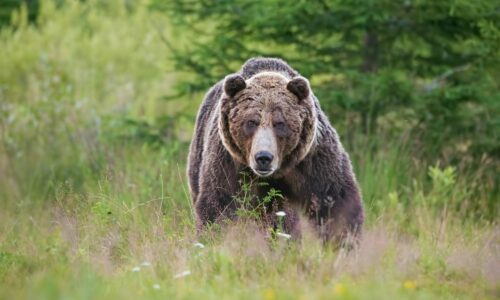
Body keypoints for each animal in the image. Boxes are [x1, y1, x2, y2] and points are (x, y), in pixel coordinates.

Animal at [188, 58, 364, 244]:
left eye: (280, 123)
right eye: (251, 122)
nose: (263, 157)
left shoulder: (313, 160)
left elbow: (335, 201)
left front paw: (344, 242)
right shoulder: (229, 163)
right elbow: (219, 204)